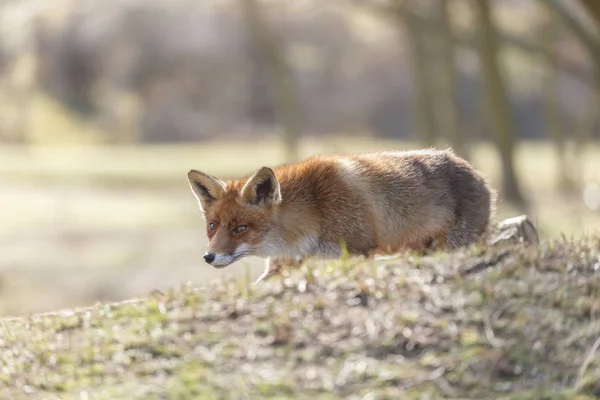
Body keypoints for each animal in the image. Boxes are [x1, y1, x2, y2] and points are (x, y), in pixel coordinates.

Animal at [189, 148, 496, 282]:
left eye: (240, 228)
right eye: (213, 226)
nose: (208, 257)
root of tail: (476, 171)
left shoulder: (359, 251)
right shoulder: (284, 264)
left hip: (455, 246)